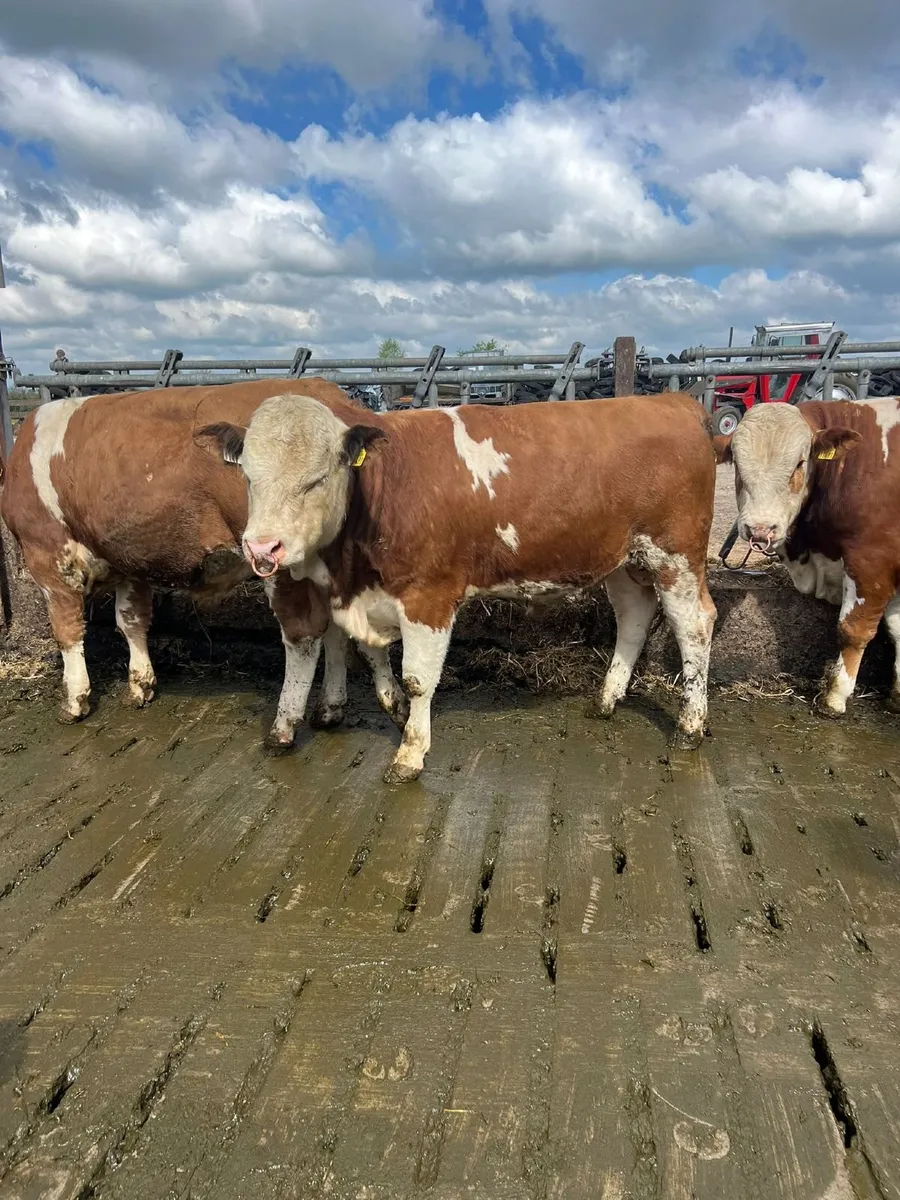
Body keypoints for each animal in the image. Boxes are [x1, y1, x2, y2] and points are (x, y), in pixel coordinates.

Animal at [0, 379, 405, 747]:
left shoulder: (47, 556)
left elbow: (67, 631)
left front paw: (74, 701)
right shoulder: (129, 562)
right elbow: (131, 621)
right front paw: (140, 684)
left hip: (279, 561)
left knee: (302, 633)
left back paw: (284, 725)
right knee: (334, 629)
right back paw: (331, 709)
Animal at [200, 390, 719, 783]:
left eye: (317, 478)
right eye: (247, 475)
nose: (262, 547)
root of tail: (673, 400)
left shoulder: (429, 595)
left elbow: (418, 677)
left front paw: (410, 753)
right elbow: (370, 652)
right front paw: (394, 712)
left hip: (677, 555)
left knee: (694, 624)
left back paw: (690, 726)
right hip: (624, 561)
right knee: (634, 617)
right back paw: (607, 701)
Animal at [715, 397, 900, 717]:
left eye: (799, 464)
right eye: (737, 464)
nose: (760, 529)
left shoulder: (873, 560)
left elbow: (855, 629)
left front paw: (835, 697)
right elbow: (898, 629)